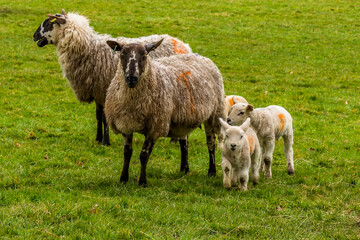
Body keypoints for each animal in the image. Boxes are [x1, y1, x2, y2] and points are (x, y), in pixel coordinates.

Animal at [32, 9, 193, 145]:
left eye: (48, 23)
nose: (34, 36)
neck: (88, 49)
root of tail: (183, 44)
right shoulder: (97, 91)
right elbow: (98, 116)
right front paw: (98, 139)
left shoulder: (105, 90)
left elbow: (105, 118)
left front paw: (105, 141)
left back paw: (175, 140)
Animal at [104, 39, 226, 186]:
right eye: (122, 54)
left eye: (144, 55)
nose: (131, 78)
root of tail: (200, 56)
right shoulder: (125, 125)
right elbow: (127, 153)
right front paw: (123, 179)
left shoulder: (155, 127)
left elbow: (144, 155)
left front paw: (142, 182)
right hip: (183, 118)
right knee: (184, 143)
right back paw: (184, 169)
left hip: (213, 113)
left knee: (210, 143)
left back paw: (212, 171)